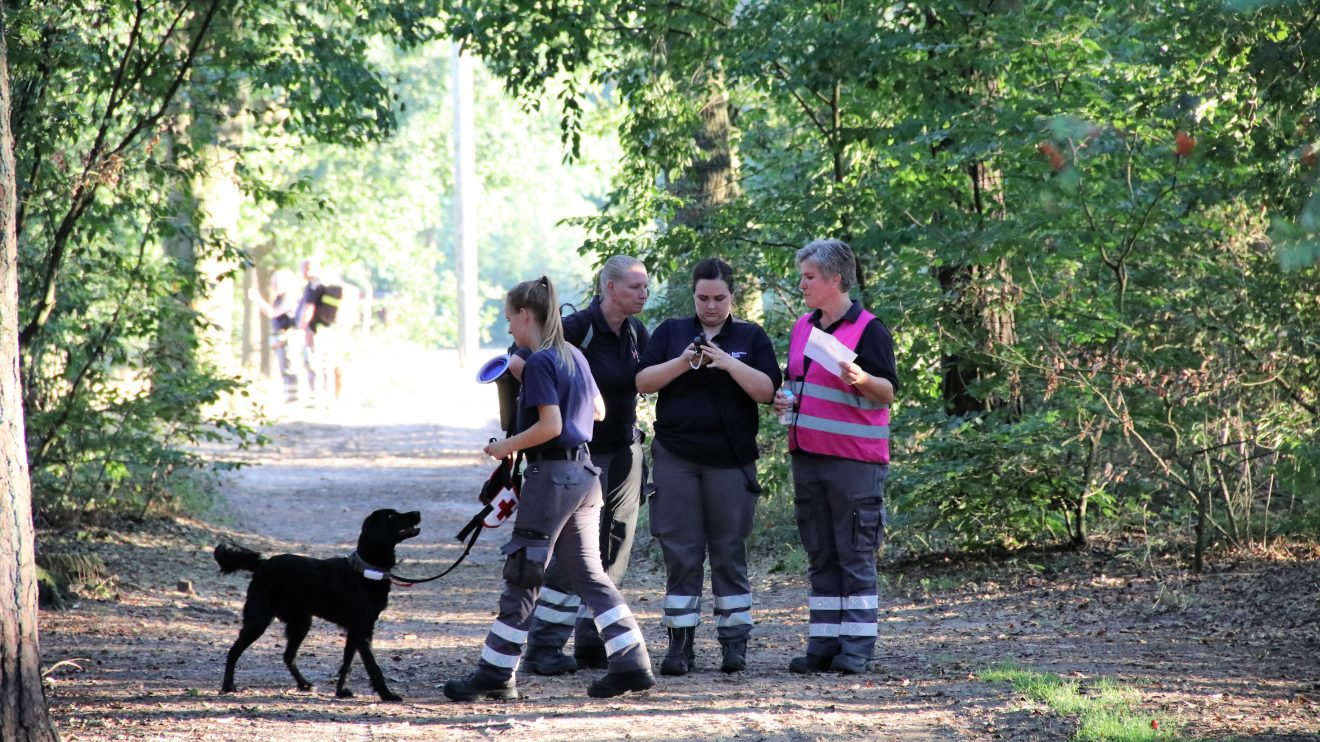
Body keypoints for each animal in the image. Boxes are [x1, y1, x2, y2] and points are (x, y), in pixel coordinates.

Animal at [212, 506, 417, 697]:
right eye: (390, 515)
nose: (418, 513)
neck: (365, 571)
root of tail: (262, 563)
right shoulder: (362, 630)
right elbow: (373, 666)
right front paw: (387, 695)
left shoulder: (356, 630)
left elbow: (347, 664)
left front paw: (341, 691)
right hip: (259, 620)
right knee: (234, 650)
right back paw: (228, 686)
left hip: (301, 622)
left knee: (288, 656)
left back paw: (303, 684)